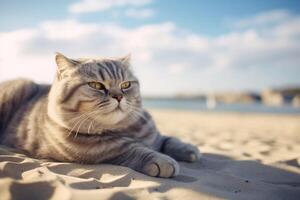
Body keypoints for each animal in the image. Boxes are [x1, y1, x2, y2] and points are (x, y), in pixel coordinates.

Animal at [0, 53, 202, 178]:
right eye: (96, 85)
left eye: (126, 85)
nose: (118, 96)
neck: (124, 128)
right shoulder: (99, 147)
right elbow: (132, 148)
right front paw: (161, 160)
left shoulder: (152, 134)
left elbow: (168, 140)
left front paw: (188, 148)